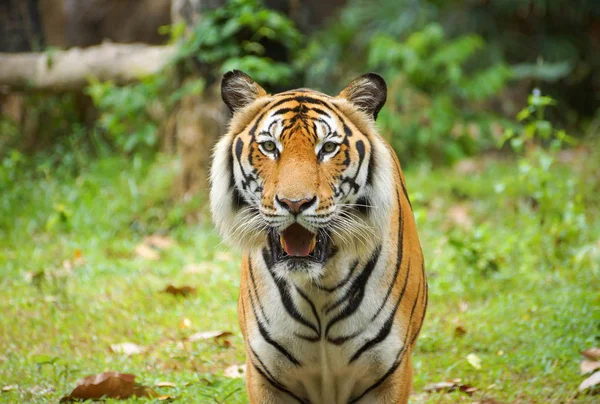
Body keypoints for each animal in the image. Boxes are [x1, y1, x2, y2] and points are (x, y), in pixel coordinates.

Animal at [211, 71, 426, 402]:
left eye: (327, 149)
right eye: (270, 147)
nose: (294, 203)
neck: (319, 286)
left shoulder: (390, 372)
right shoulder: (264, 373)